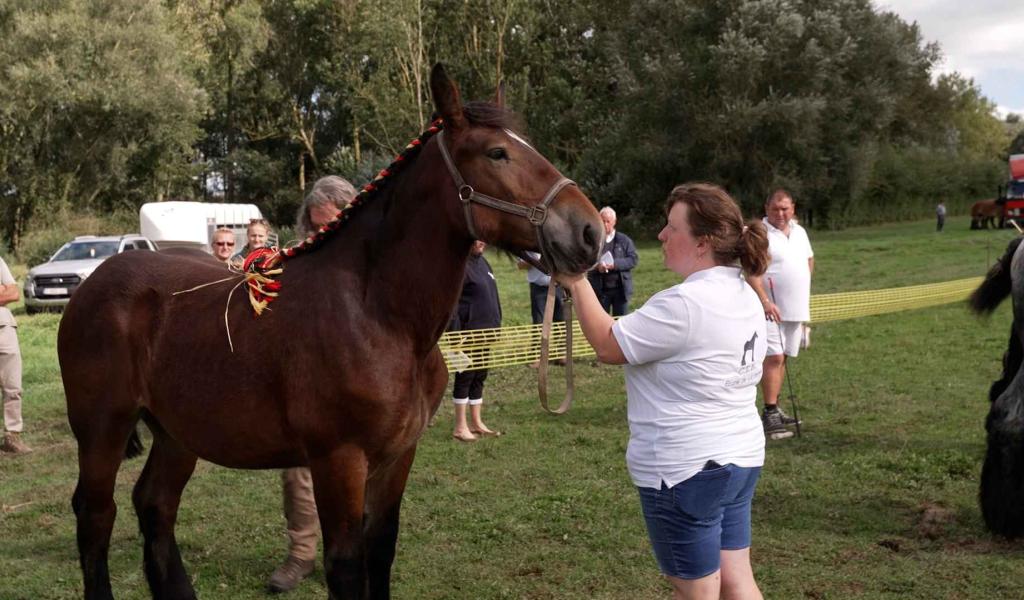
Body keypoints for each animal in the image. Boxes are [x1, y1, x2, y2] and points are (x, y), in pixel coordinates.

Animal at [59, 62, 602, 593]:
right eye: (497, 153)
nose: (590, 231)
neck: (380, 317)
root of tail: (91, 285)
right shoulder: (338, 459)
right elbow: (345, 565)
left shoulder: (397, 457)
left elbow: (381, 552)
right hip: (102, 427)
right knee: (96, 514)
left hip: (176, 431)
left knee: (155, 505)